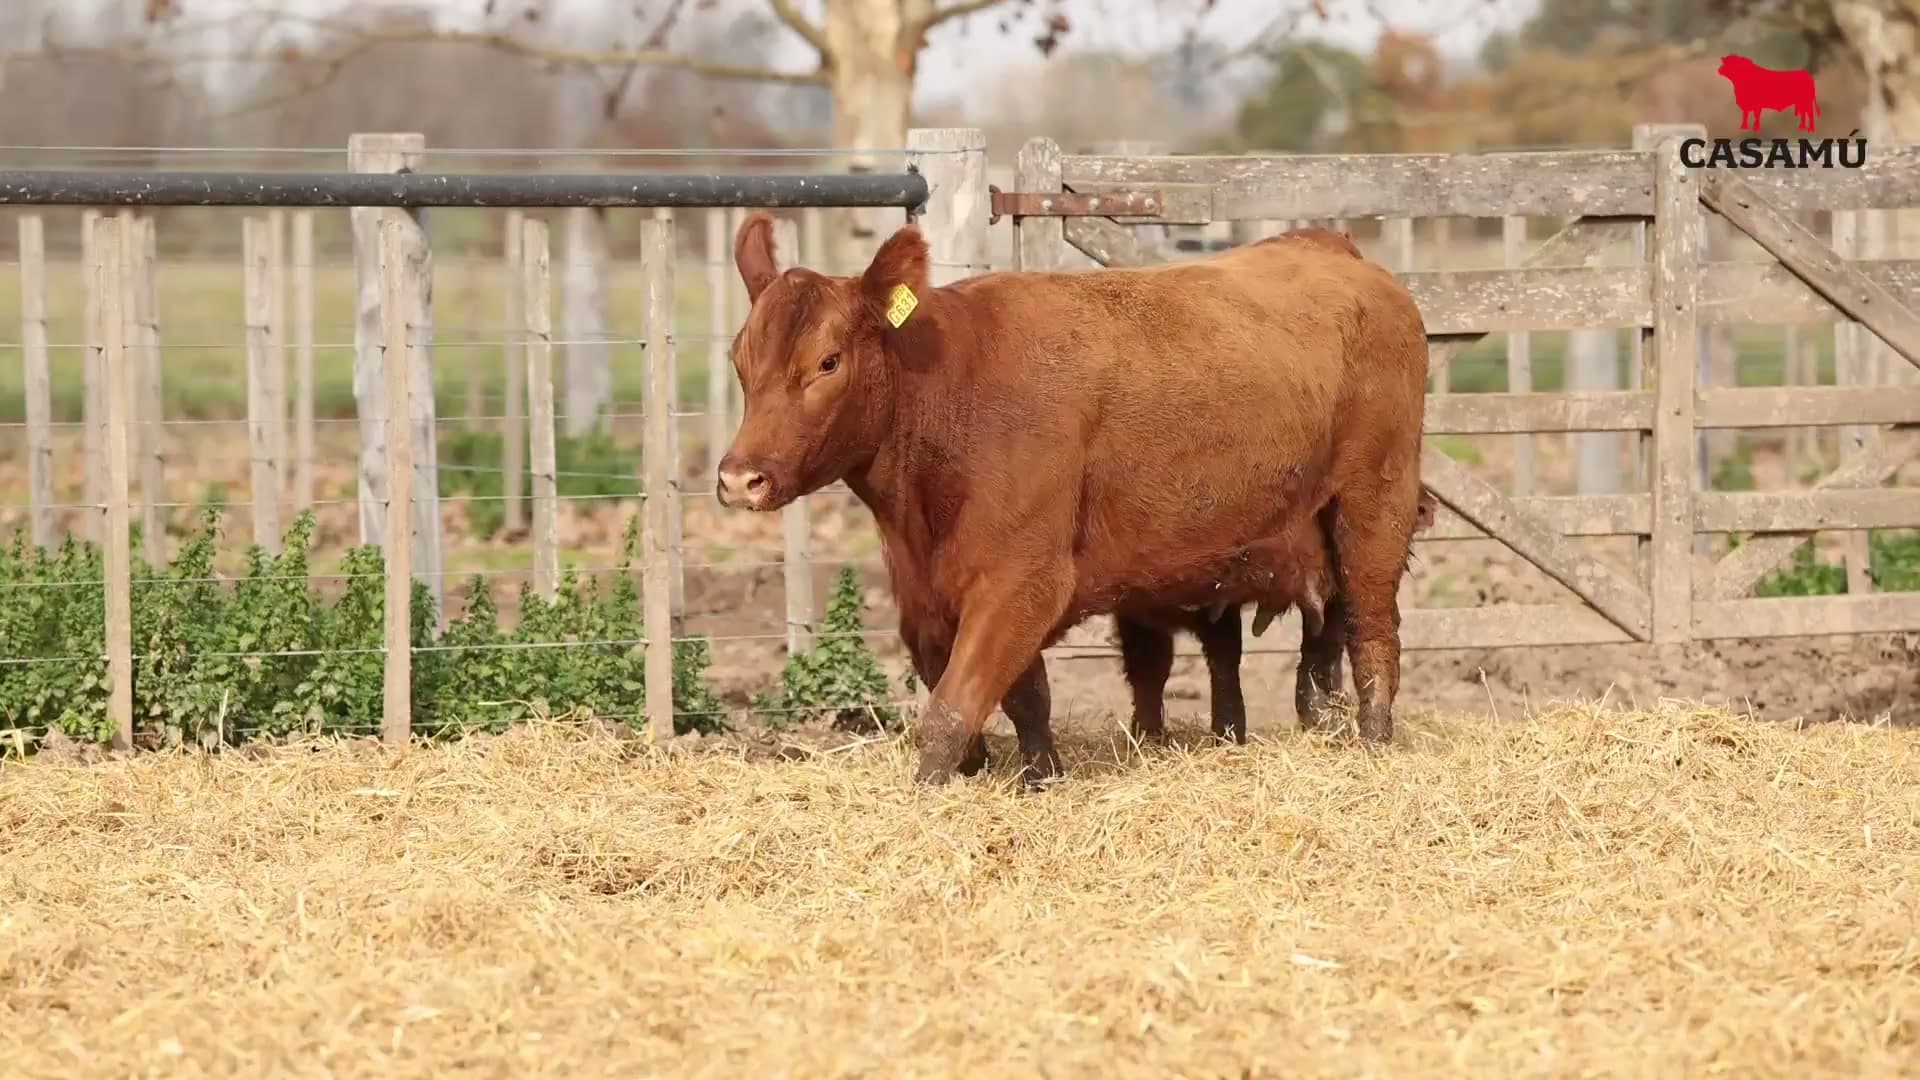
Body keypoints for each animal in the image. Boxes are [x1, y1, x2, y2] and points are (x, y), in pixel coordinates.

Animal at [715, 212, 1429, 786]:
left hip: (1375, 502)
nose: (739, 478)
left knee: (1372, 626)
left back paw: (1373, 740)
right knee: (1320, 635)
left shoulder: (1021, 580)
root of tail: (1337, 253)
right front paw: (1040, 775)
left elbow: (952, 709)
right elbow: (1026, 696)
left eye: (828, 362)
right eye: (739, 358)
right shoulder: (930, 601)